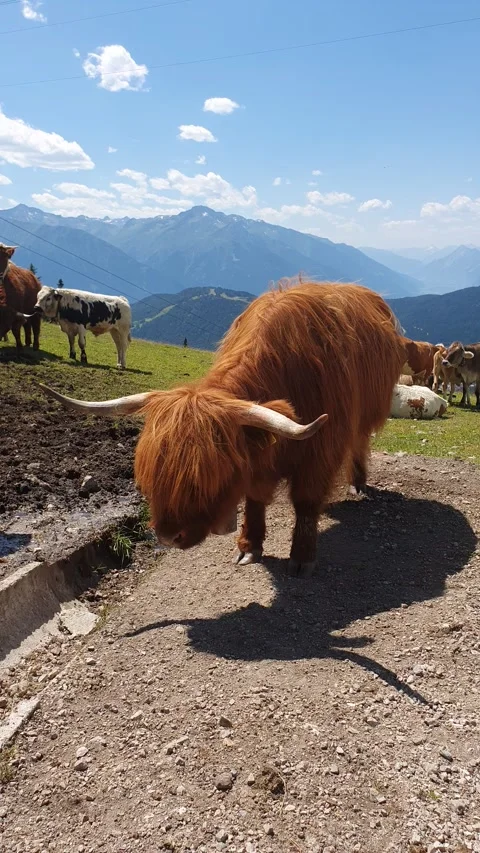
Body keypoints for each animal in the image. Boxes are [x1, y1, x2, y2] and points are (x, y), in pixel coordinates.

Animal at [38, 281, 405, 578]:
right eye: (151, 472)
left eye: (205, 474)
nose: (168, 535)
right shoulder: (259, 458)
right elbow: (255, 498)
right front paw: (249, 547)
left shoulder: (321, 449)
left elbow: (306, 501)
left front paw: (302, 557)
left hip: (365, 415)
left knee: (359, 445)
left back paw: (358, 483)